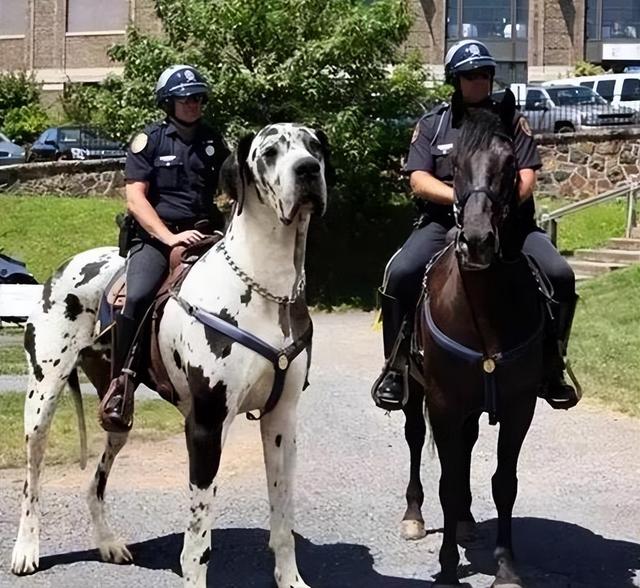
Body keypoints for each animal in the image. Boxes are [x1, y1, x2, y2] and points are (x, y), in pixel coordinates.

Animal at [11, 121, 330, 584]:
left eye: (314, 147)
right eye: (270, 151)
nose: (307, 170)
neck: (266, 287)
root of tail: (62, 267)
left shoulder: (281, 422)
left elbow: (283, 517)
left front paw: (291, 580)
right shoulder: (205, 426)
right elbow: (198, 539)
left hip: (117, 416)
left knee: (95, 483)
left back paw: (108, 543)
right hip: (41, 401)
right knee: (31, 480)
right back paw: (26, 549)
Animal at [402, 92, 544, 588]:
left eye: (509, 163)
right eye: (456, 164)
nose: (478, 241)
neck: (483, 311)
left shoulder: (520, 404)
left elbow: (504, 482)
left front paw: (505, 565)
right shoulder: (443, 401)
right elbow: (446, 480)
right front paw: (447, 566)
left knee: (464, 449)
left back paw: (464, 521)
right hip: (416, 394)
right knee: (415, 437)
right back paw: (415, 515)